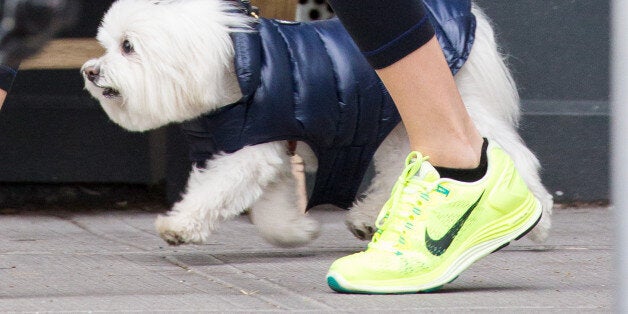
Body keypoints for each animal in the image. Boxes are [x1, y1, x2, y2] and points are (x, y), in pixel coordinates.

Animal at [81, 0, 552, 247]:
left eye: (127, 47)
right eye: (104, 45)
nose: (89, 71)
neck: (236, 63)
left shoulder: (249, 152)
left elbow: (215, 191)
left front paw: (179, 226)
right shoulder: (274, 148)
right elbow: (272, 208)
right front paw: (296, 231)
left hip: (451, 110)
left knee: (512, 159)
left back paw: (536, 215)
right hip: (395, 123)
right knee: (398, 168)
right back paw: (367, 218)